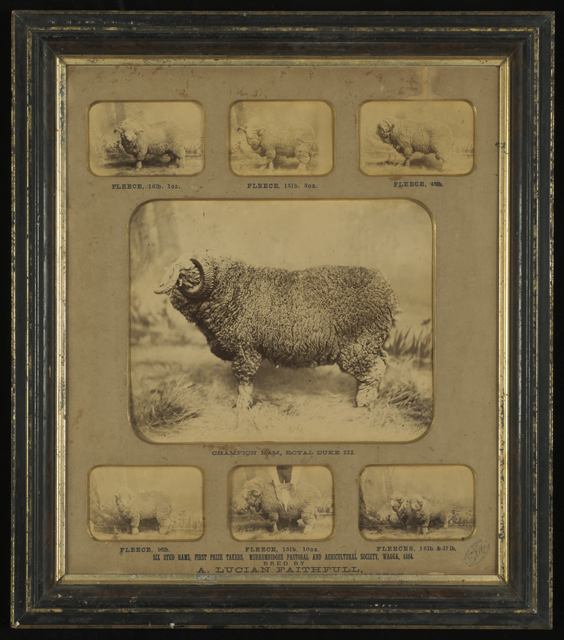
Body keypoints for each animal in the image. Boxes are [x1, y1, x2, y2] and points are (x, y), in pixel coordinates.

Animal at [155, 250, 400, 410]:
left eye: (184, 270)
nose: (159, 287)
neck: (230, 290)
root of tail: (389, 291)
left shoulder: (246, 348)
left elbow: (243, 379)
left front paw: (242, 406)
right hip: (372, 342)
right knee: (382, 362)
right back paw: (371, 397)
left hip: (360, 343)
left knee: (374, 370)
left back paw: (364, 403)